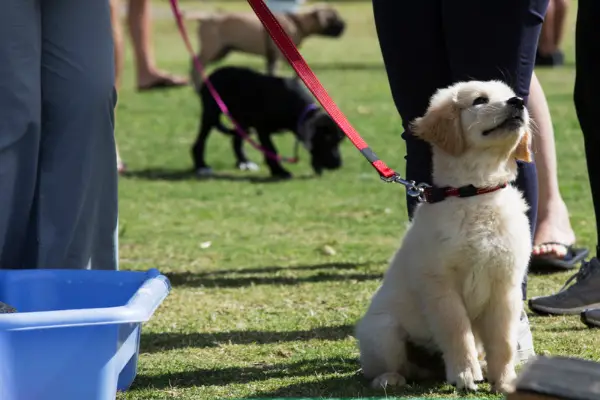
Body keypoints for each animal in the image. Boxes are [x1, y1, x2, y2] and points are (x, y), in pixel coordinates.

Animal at [195, 66, 344, 179]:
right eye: (326, 139)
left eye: (339, 141)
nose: (338, 165)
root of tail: (210, 76)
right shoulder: (263, 129)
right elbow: (271, 149)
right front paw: (279, 171)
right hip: (211, 115)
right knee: (200, 141)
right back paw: (201, 165)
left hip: (242, 122)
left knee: (236, 141)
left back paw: (244, 162)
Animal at [354, 80, 532, 394]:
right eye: (480, 100)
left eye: (511, 94)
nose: (518, 102)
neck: (476, 193)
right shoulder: (440, 286)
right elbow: (457, 332)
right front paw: (465, 374)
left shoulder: (505, 286)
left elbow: (504, 342)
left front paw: (505, 380)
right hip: (382, 330)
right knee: (386, 368)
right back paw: (390, 378)